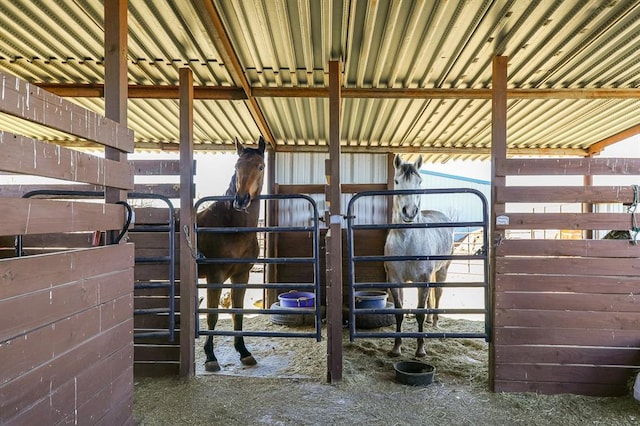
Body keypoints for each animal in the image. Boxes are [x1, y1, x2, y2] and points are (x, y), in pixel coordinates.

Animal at [196, 137, 264, 372]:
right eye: (236, 167)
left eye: (260, 166)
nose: (241, 199)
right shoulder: (215, 276)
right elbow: (212, 315)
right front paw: (210, 357)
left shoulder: (241, 275)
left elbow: (238, 312)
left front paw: (244, 352)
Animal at [382, 155, 452, 358]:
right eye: (397, 181)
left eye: (419, 181)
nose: (409, 212)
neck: (407, 241)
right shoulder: (395, 280)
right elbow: (399, 312)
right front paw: (396, 348)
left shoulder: (423, 280)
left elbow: (419, 312)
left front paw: (420, 349)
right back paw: (430, 320)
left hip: (443, 270)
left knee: (438, 293)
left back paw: (435, 321)